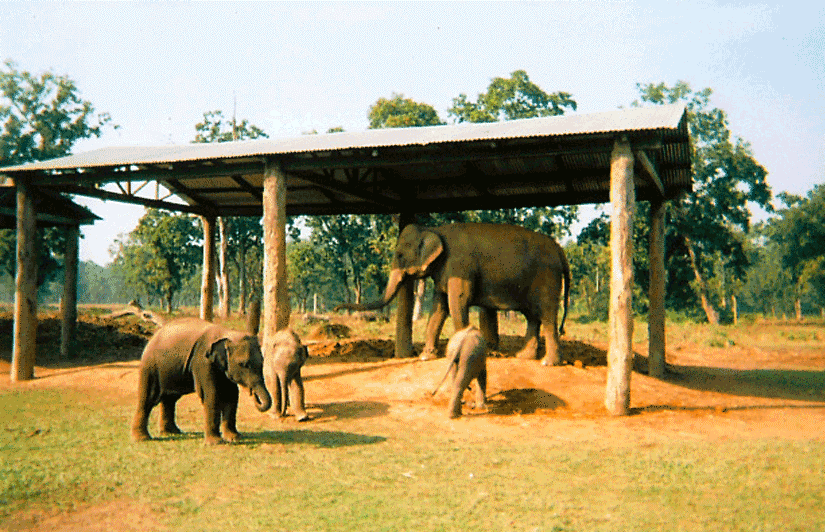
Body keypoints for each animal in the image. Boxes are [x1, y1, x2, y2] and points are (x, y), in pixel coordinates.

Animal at [132, 316, 272, 444]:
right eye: (243, 364)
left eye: (262, 362)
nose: (253, 394)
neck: (227, 333)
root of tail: (152, 337)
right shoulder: (203, 362)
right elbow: (212, 394)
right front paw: (216, 442)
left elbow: (231, 395)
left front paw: (235, 438)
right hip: (150, 367)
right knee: (147, 399)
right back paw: (142, 439)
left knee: (170, 399)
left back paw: (172, 432)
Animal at [334, 221, 568, 366]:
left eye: (399, 255)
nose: (336, 308)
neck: (433, 229)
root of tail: (559, 248)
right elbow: (438, 309)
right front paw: (425, 357)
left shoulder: (460, 266)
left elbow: (458, 303)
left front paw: (458, 354)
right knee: (533, 316)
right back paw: (524, 357)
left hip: (547, 277)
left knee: (547, 314)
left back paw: (548, 363)